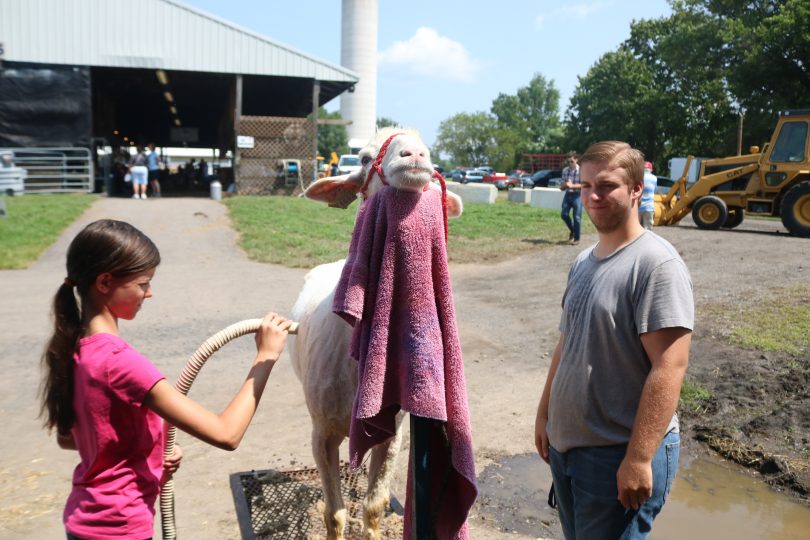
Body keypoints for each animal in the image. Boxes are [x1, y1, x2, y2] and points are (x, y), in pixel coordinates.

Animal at [290, 129, 460, 536]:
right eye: (365, 157)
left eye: (429, 149)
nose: (414, 155)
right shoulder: (321, 434)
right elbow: (334, 513)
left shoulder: (392, 433)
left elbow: (374, 505)